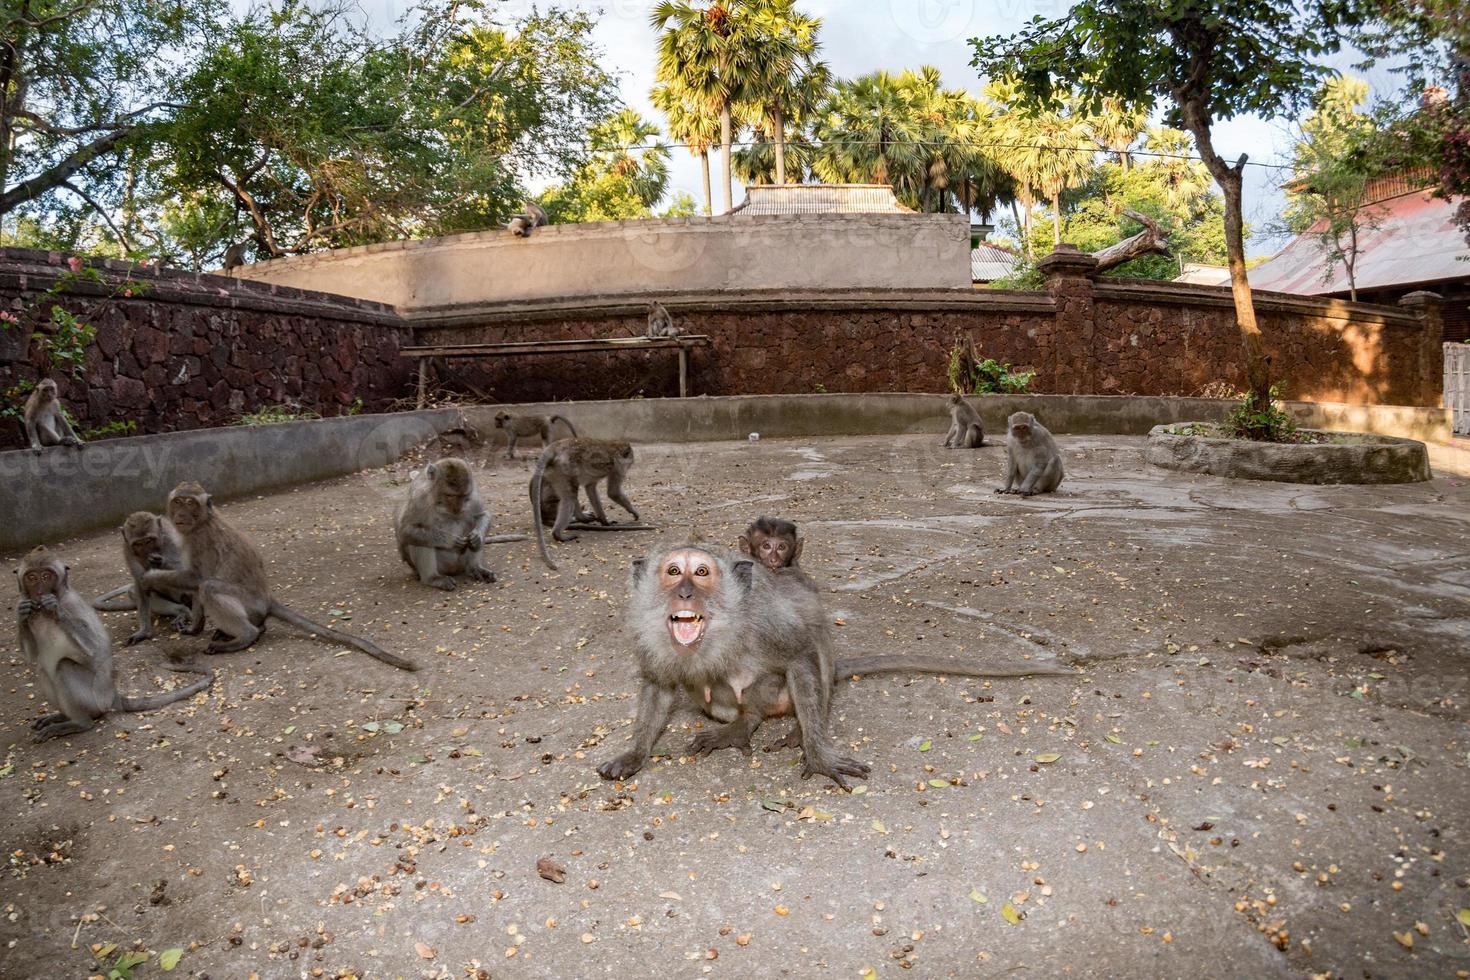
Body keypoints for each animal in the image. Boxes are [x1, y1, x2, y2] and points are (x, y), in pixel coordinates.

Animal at [15, 543, 214, 743]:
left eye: (46, 576)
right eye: (31, 577)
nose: (40, 592)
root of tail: (111, 695)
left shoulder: (73, 606)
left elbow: (96, 651)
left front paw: (55, 609)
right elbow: (32, 654)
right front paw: (22, 613)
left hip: (94, 698)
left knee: (64, 666)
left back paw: (79, 723)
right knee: (42, 669)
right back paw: (62, 716)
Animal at [91, 511, 192, 646]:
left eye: (149, 540)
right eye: (138, 544)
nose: (147, 554)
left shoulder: (171, 539)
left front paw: (159, 562)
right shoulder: (128, 550)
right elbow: (140, 583)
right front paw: (144, 632)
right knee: (134, 592)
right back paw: (181, 611)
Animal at [144, 481, 417, 669]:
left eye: (191, 503)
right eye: (178, 502)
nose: (181, 515)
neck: (202, 521)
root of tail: (267, 600)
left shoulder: (200, 541)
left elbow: (197, 579)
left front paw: (150, 578)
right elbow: (194, 586)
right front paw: (194, 627)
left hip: (249, 603)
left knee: (210, 587)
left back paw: (245, 636)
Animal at [526, 437, 646, 570]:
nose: (630, 465)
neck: (614, 447)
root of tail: (555, 446)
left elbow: (590, 487)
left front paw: (604, 521)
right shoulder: (617, 468)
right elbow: (613, 492)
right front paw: (632, 511)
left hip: (553, 471)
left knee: (571, 493)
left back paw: (580, 519)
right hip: (564, 466)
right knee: (570, 495)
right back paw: (559, 533)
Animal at [599, 540, 1081, 787]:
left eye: (700, 573)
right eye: (672, 572)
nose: (685, 593)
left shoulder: (765, 625)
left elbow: (801, 653)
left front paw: (817, 753)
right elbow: (658, 683)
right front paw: (635, 753)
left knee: (810, 647)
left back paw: (757, 723)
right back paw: (738, 726)